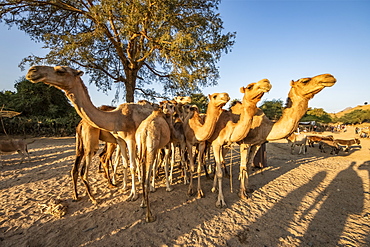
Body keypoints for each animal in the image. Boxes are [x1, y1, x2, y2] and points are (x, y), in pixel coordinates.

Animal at [26, 64, 153, 204]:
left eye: (61, 71)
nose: (32, 71)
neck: (116, 117)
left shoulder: (130, 139)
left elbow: (132, 166)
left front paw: (134, 195)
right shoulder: (120, 140)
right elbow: (126, 164)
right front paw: (127, 188)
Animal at [208, 78, 272, 206]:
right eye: (249, 87)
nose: (266, 81)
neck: (230, 127)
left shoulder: (226, 144)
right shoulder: (216, 144)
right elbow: (219, 171)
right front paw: (220, 201)